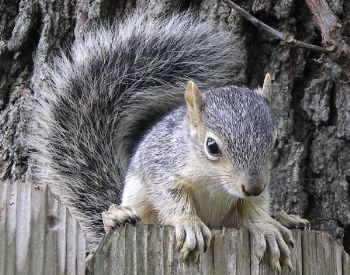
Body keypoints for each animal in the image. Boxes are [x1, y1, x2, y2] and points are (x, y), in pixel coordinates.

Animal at [30, 7, 308, 272]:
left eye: (274, 142)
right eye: (212, 146)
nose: (253, 186)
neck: (215, 183)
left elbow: (254, 208)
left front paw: (266, 227)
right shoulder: (164, 169)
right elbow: (171, 198)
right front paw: (189, 223)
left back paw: (285, 218)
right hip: (137, 199)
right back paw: (115, 217)